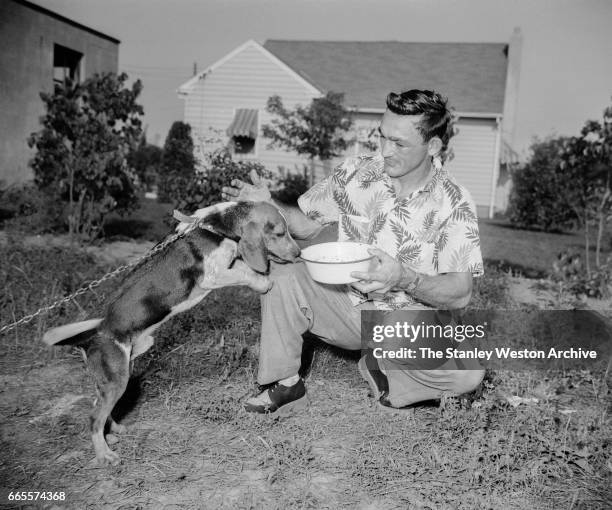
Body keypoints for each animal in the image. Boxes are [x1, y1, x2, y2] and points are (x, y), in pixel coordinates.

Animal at [41, 201, 302, 464]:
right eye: (280, 233)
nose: (298, 253)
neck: (215, 225)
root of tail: (92, 336)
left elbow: (242, 267)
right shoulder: (212, 275)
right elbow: (245, 273)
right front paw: (264, 282)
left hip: (114, 377)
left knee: (99, 407)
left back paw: (113, 433)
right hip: (116, 379)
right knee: (94, 417)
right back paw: (105, 455)